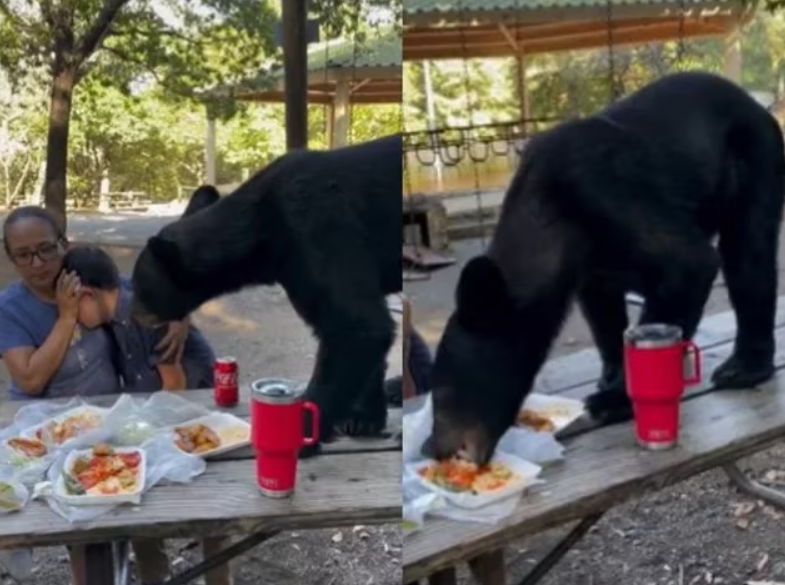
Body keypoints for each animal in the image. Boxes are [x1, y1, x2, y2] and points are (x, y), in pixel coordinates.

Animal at [131, 136, 402, 456]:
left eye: (139, 287)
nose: (133, 313)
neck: (263, 230)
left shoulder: (318, 229)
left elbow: (356, 325)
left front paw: (300, 436)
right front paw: (363, 418)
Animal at [426, 72, 780, 466]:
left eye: (443, 394)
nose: (433, 448)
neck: (551, 214)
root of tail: (753, 102)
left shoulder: (606, 190)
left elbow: (689, 263)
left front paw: (614, 399)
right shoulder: (594, 263)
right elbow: (603, 311)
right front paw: (609, 378)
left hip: (755, 158)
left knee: (749, 254)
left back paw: (744, 366)